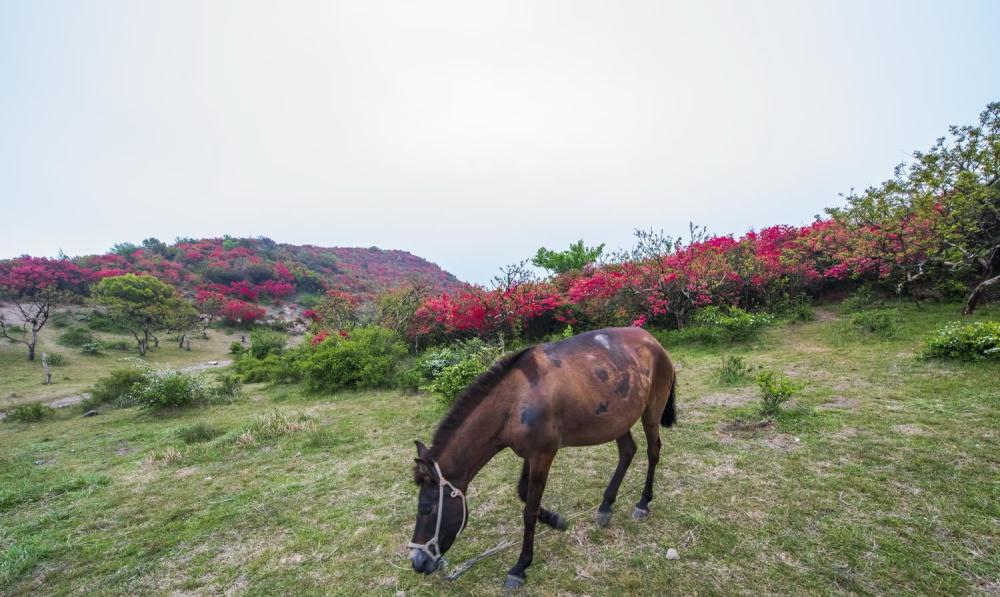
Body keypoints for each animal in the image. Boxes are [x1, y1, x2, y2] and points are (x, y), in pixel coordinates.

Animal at [408, 326, 680, 588]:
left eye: (425, 510)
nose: (417, 562)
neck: (515, 399)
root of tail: (654, 342)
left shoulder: (543, 454)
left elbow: (529, 510)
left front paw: (520, 567)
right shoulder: (529, 454)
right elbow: (522, 492)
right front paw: (556, 520)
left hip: (651, 413)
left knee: (653, 452)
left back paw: (643, 503)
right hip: (617, 419)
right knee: (627, 451)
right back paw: (605, 506)